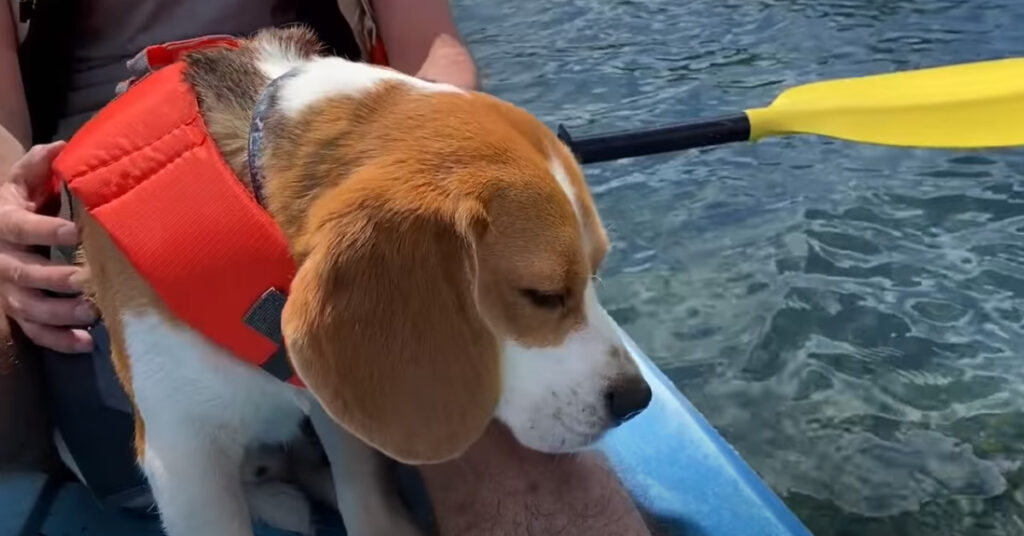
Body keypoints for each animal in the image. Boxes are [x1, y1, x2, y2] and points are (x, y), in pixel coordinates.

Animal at [77, 27, 655, 536]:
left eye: (596, 272)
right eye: (543, 295)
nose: (637, 401)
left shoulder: (331, 400)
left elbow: (364, 497)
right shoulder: (182, 455)